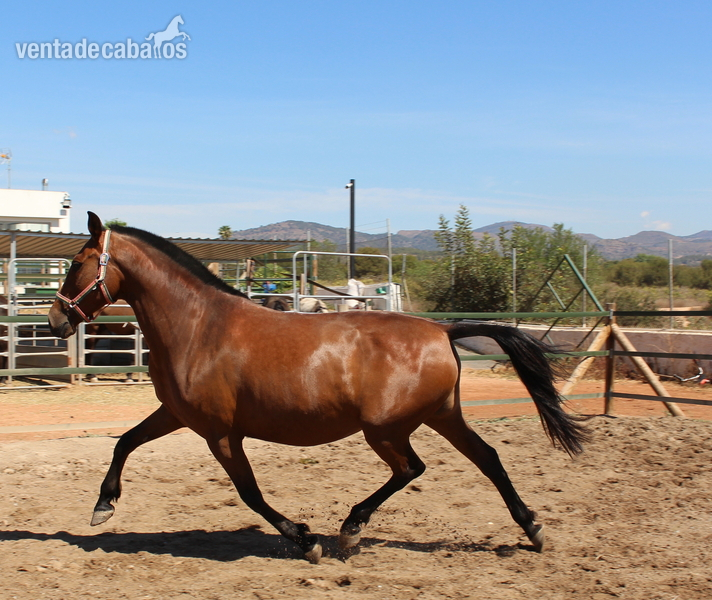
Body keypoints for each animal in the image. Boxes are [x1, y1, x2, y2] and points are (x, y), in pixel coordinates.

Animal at [48, 212, 588, 563]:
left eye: (76, 263)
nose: (55, 319)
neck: (199, 326)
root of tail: (441, 330)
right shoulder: (179, 415)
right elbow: (125, 442)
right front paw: (103, 506)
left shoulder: (220, 433)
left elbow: (250, 492)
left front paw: (306, 541)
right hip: (442, 416)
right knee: (488, 458)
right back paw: (532, 528)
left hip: (386, 430)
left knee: (412, 468)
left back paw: (350, 530)